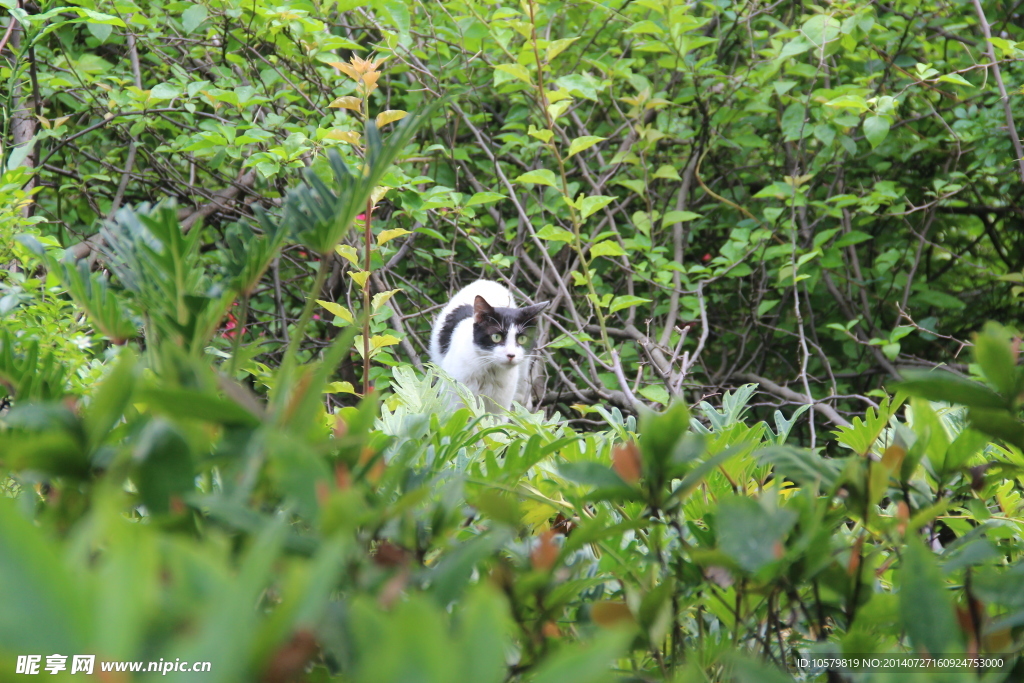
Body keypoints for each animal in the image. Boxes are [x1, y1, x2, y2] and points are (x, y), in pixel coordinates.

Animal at [428, 278, 548, 409]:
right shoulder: (455, 401)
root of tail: (486, 281)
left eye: (522, 339)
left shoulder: (500, 407)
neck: (490, 371)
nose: (511, 355)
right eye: (496, 337)